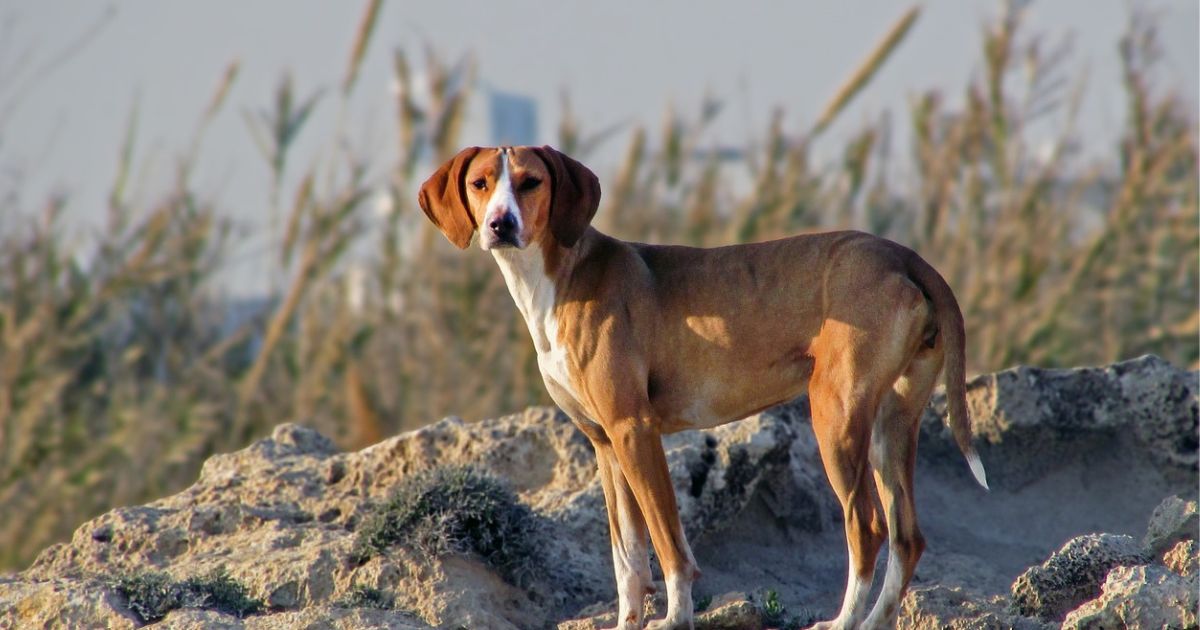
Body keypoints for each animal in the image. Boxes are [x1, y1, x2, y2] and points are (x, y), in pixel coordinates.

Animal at [420, 145, 984, 624]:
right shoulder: (605, 444)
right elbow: (627, 557)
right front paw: (630, 621)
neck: (560, 277)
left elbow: (669, 545)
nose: (501, 224)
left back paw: (843, 621)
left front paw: (675, 618)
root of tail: (903, 255)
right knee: (907, 538)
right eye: (480, 183)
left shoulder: (635, 431)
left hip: (837, 418)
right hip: (893, 424)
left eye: (530, 182)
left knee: (866, 529)